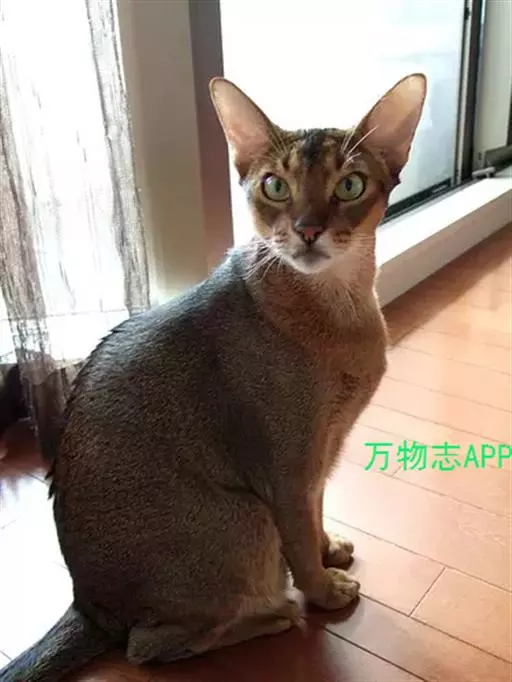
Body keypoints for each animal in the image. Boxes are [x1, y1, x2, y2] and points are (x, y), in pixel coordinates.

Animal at [0, 72, 426, 682]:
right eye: (275, 187)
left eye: (350, 186)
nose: (308, 230)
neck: (339, 310)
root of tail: (88, 604)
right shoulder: (285, 468)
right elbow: (298, 539)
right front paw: (323, 591)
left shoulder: (322, 454)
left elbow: (316, 514)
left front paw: (328, 551)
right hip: (244, 517)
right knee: (147, 647)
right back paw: (271, 617)